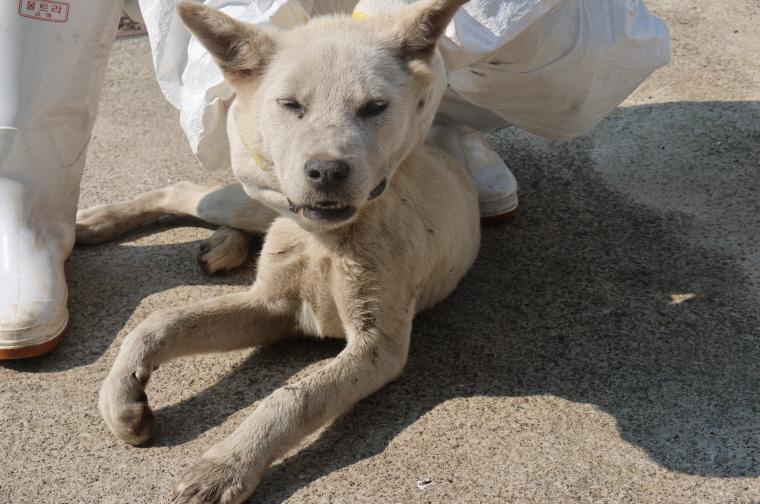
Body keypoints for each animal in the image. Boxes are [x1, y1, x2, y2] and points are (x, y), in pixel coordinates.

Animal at [77, 0, 480, 500]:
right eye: (291, 105)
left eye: (375, 107)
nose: (327, 172)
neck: (324, 241)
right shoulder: (270, 304)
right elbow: (164, 318)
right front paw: (120, 394)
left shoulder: (375, 346)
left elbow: (293, 397)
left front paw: (226, 465)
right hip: (260, 199)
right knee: (185, 191)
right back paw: (98, 223)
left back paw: (221, 245)